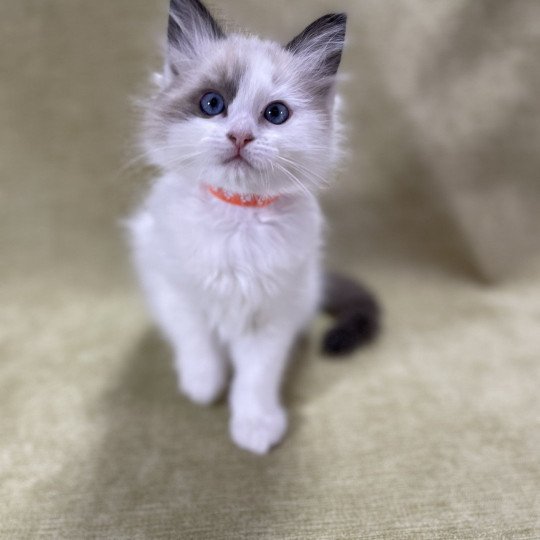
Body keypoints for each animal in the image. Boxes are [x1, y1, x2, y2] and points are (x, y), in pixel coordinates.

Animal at [129, 0, 380, 456]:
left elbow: (257, 377)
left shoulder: (273, 313)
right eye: (212, 104)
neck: (238, 219)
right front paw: (203, 386)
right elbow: (197, 342)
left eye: (275, 114)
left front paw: (256, 426)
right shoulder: (174, 286)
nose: (240, 136)